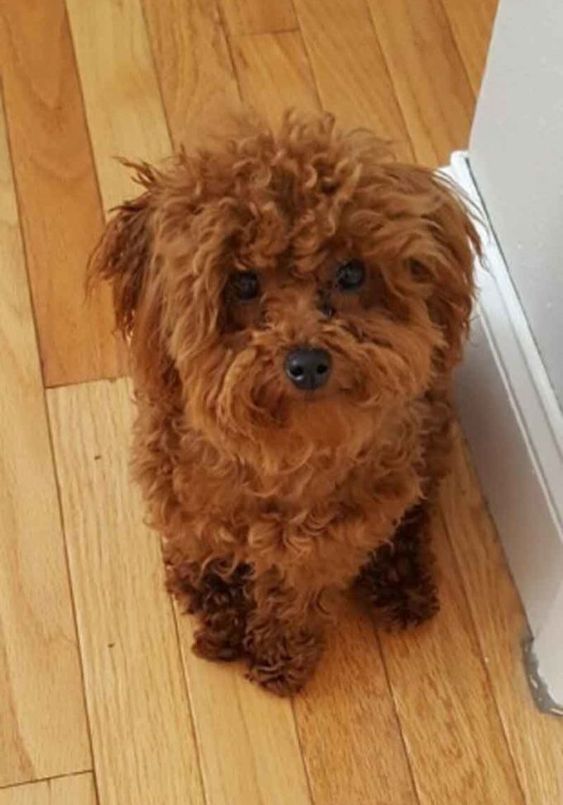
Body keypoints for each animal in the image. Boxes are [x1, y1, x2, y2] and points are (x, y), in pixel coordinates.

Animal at [90, 110, 478, 696]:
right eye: (244, 282)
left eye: (351, 273)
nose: (308, 362)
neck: (278, 457)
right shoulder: (181, 503)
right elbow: (203, 553)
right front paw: (216, 611)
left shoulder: (326, 546)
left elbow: (295, 601)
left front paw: (279, 658)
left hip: (421, 455)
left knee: (410, 516)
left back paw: (402, 583)